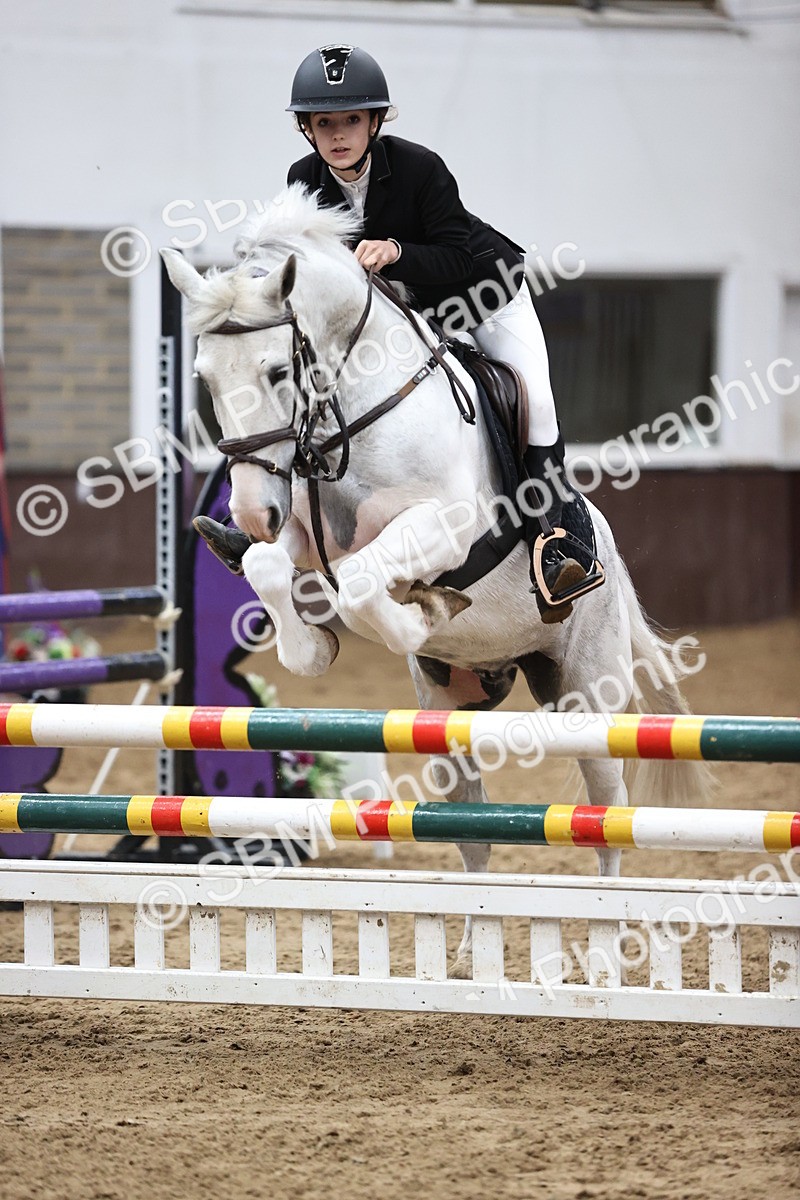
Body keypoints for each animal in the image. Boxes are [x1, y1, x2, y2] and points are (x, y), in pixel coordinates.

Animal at [161, 185, 708, 976]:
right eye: (205, 380)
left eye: (275, 372)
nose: (251, 510)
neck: (350, 410)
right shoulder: (301, 532)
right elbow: (275, 568)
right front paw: (317, 644)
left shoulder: (446, 526)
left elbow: (363, 580)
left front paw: (419, 612)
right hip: (447, 714)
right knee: (473, 828)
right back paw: (470, 947)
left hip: (586, 692)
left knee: (606, 813)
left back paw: (609, 944)